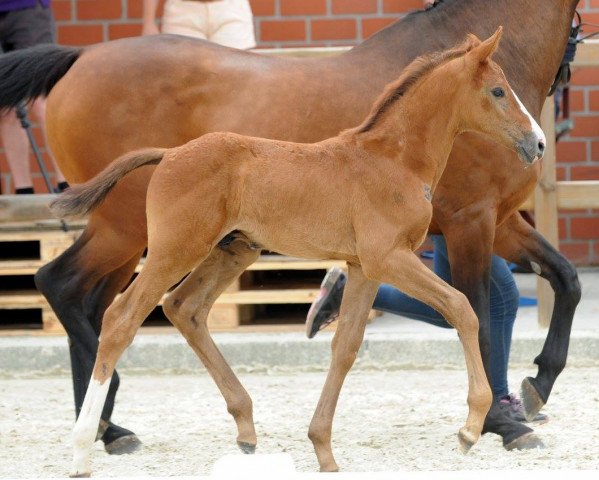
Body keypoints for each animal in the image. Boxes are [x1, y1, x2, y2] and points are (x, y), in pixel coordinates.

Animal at [54, 30, 548, 476]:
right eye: (498, 90)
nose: (539, 143)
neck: (394, 161)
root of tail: (170, 154)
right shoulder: (389, 258)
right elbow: (463, 309)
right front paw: (470, 429)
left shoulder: (363, 267)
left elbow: (345, 346)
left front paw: (323, 449)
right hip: (173, 250)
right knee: (120, 318)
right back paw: (84, 447)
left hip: (232, 251)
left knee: (184, 307)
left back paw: (245, 428)